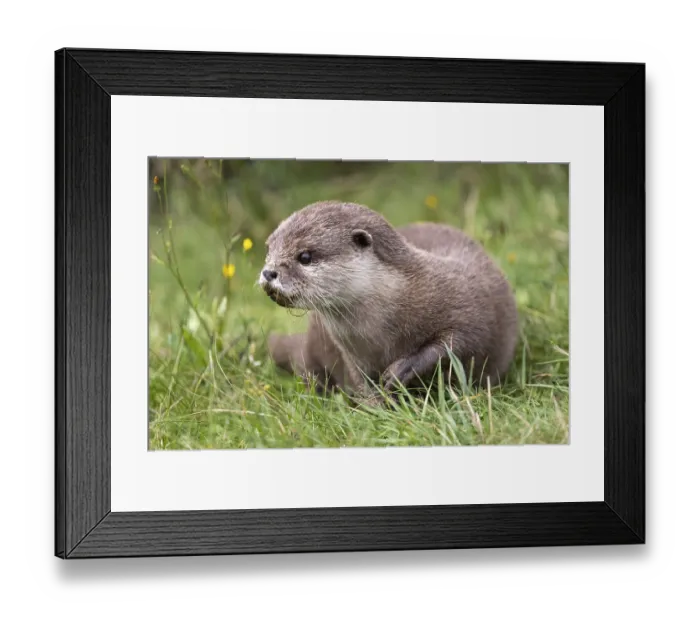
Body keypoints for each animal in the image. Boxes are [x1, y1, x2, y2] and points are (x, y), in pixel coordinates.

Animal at [259, 201, 518, 402]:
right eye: (269, 249)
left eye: (305, 256)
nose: (269, 272)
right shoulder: (353, 356)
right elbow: (363, 383)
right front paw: (377, 408)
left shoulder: (464, 306)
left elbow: (458, 342)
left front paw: (402, 370)